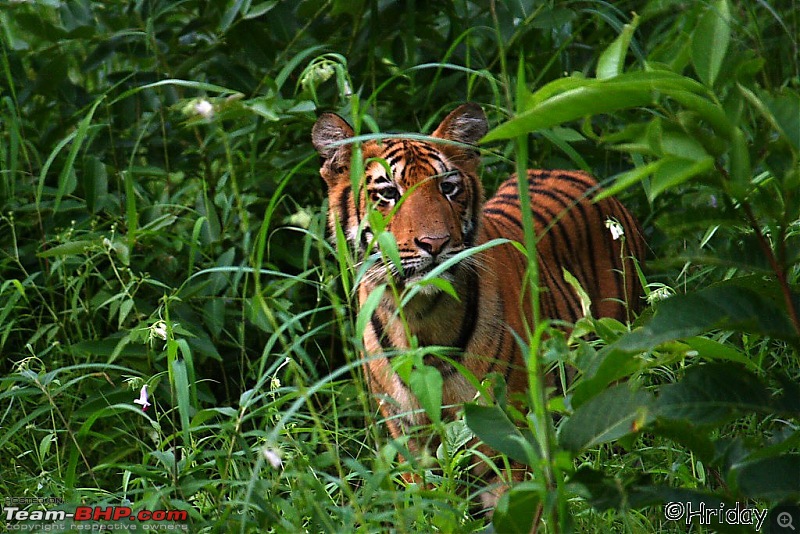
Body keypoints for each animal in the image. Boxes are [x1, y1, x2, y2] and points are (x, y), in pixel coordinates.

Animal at [310, 102, 648, 508]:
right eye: (388, 193)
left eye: (448, 187)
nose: (435, 243)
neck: (420, 318)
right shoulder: (410, 439)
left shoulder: (504, 434)